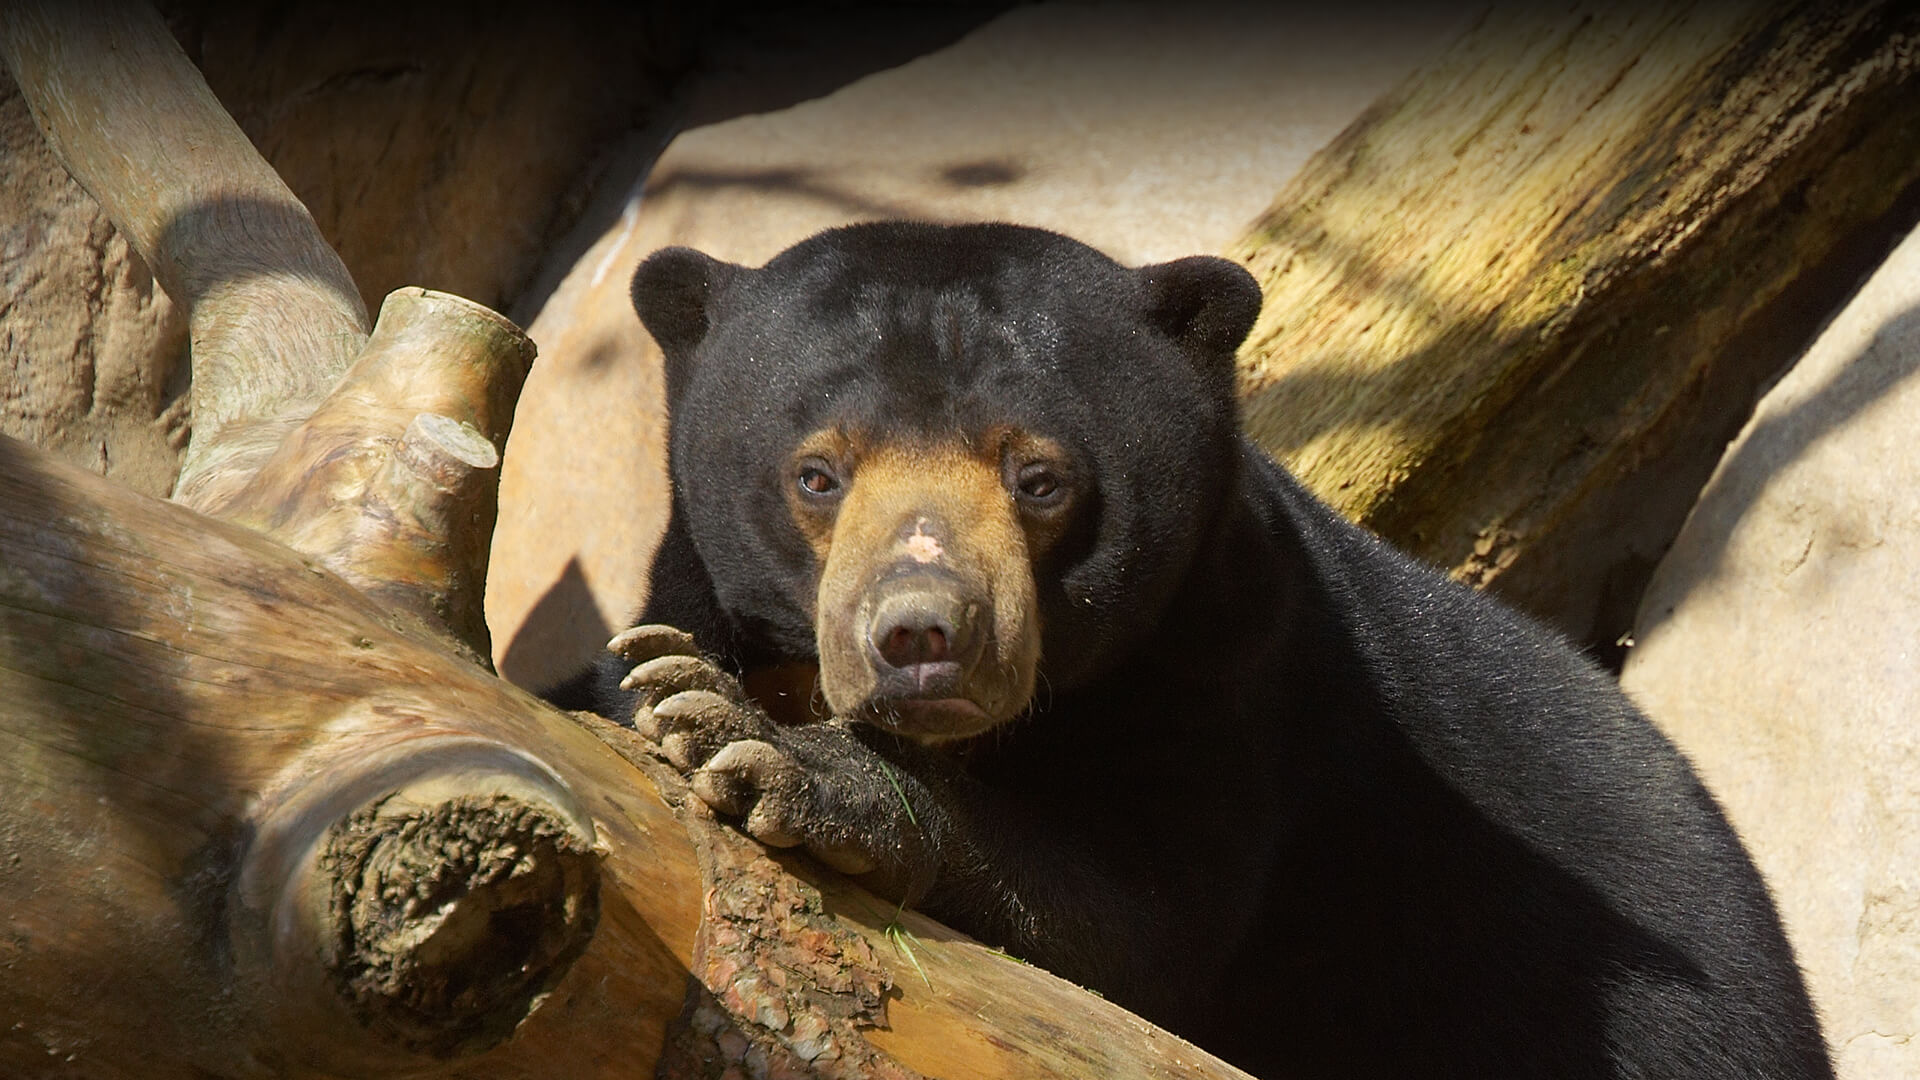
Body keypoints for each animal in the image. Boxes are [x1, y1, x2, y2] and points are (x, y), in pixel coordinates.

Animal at [552, 222, 1827, 1068]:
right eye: (818, 473)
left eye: (1040, 476)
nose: (925, 635)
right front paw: (683, 685)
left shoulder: (1237, 673)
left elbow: (1138, 930)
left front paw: (760, 748)